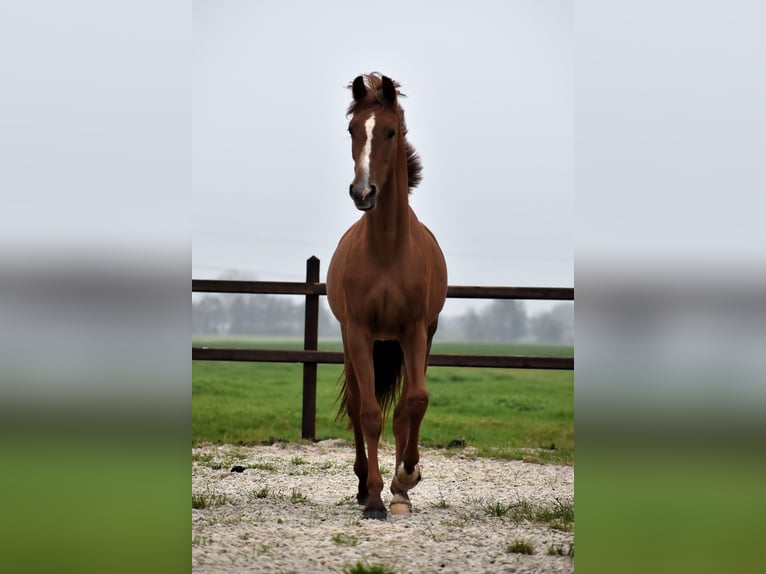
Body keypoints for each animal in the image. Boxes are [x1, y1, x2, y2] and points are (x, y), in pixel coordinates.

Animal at [326, 74, 448, 520]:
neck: (387, 249)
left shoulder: (414, 332)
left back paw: (401, 490)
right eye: (352, 130)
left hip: (416, 338)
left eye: (391, 131)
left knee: (404, 409)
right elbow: (369, 413)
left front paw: (406, 478)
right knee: (359, 406)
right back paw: (365, 485)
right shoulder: (360, 332)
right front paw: (375, 497)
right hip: (352, 341)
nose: (363, 193)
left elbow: (413, 403)